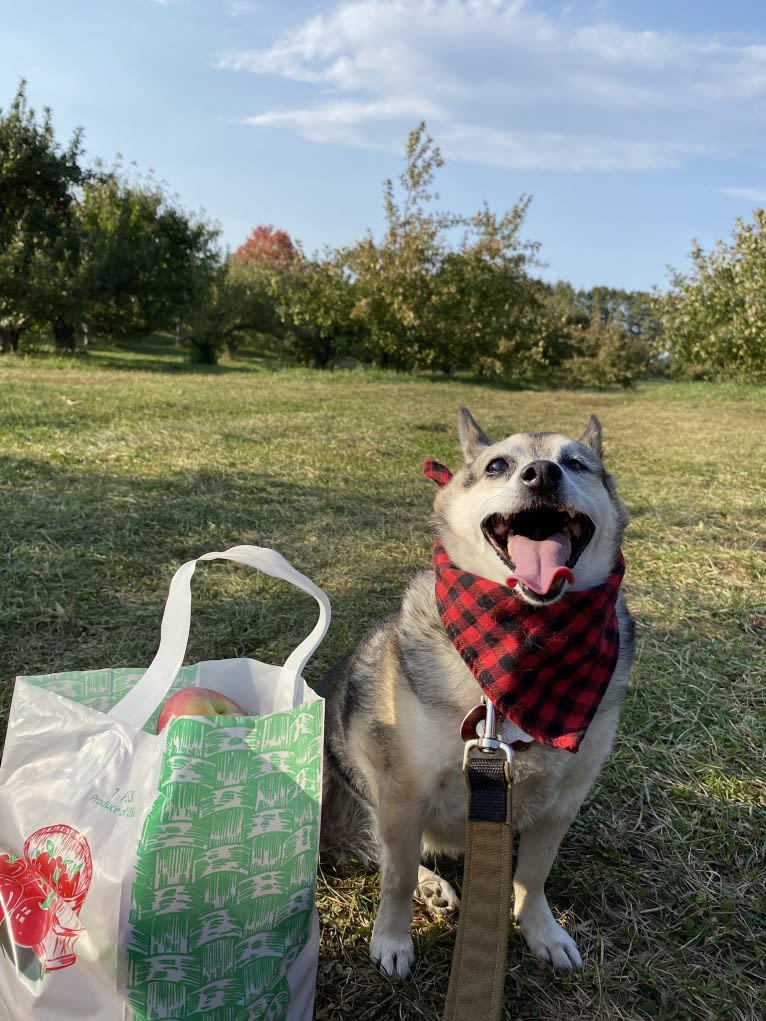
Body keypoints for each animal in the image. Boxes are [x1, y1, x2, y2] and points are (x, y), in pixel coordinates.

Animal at [318, 406, 637, 980]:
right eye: (497, 465)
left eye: (577, 463)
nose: (542, 474)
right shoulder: (403, 792)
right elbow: (395, 878)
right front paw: (392, 939)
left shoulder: (562, 802)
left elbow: (532, 876)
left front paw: (541, 931)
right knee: (369, 848)